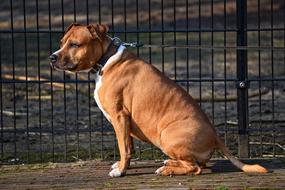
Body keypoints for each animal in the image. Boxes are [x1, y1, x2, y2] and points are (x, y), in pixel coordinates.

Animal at [50, 23, 268, 177]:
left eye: (74, 44)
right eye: (61, 43)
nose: (52, 57)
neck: (105, 59)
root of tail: (216, 136)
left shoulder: (119, 116)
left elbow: (123, 148)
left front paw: (120, 170)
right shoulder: (125, 120)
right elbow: (128, 146)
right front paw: (122, 166)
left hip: (167, 135)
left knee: (195, 168)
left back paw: (168, 170)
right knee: (197, 164)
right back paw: (169, 163)